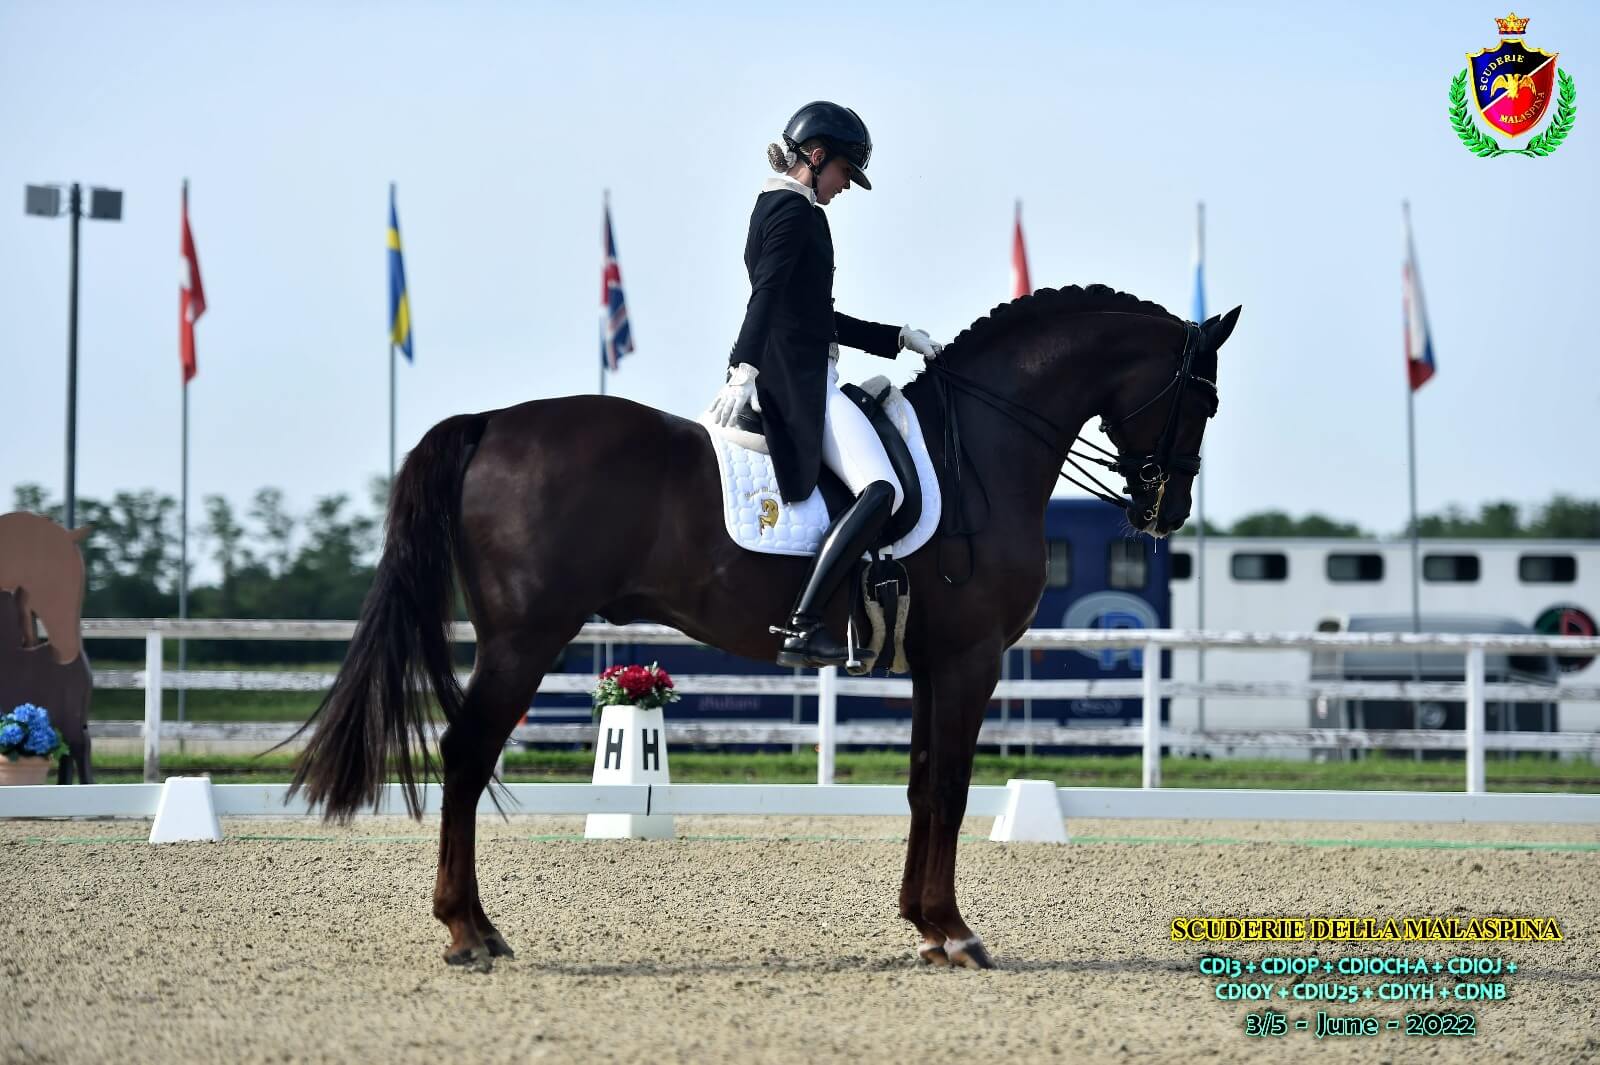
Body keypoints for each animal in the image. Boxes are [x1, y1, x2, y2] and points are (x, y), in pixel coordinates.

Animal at [288, 284, 1235, 972]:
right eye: (1202, 398)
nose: (1167, 512)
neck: (983, 448)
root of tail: (490, 424)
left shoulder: (934, 664)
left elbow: (922, 786)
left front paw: (926, 926)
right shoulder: (970, 660)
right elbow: (951, 788)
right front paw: (957, 931)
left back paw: (477, 928)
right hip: (526, 638)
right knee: (465, 754)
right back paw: (468, 932)